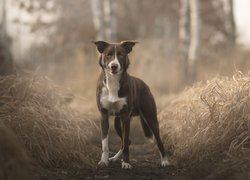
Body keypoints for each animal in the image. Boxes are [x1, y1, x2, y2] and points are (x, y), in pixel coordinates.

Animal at [92, 40, 170, 169]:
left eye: (121, 55)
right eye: (108, 55)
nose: (114, 66)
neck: (113, 82)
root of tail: (144, 84)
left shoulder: (125, 117)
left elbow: (125, 143)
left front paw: (126, 163)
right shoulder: (104, 116)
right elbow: (105, 144)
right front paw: (103, 161)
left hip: (150, 118)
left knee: (158, 140)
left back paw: (165, 161)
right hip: (117, 123)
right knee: (127, 141)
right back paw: (114, 158)